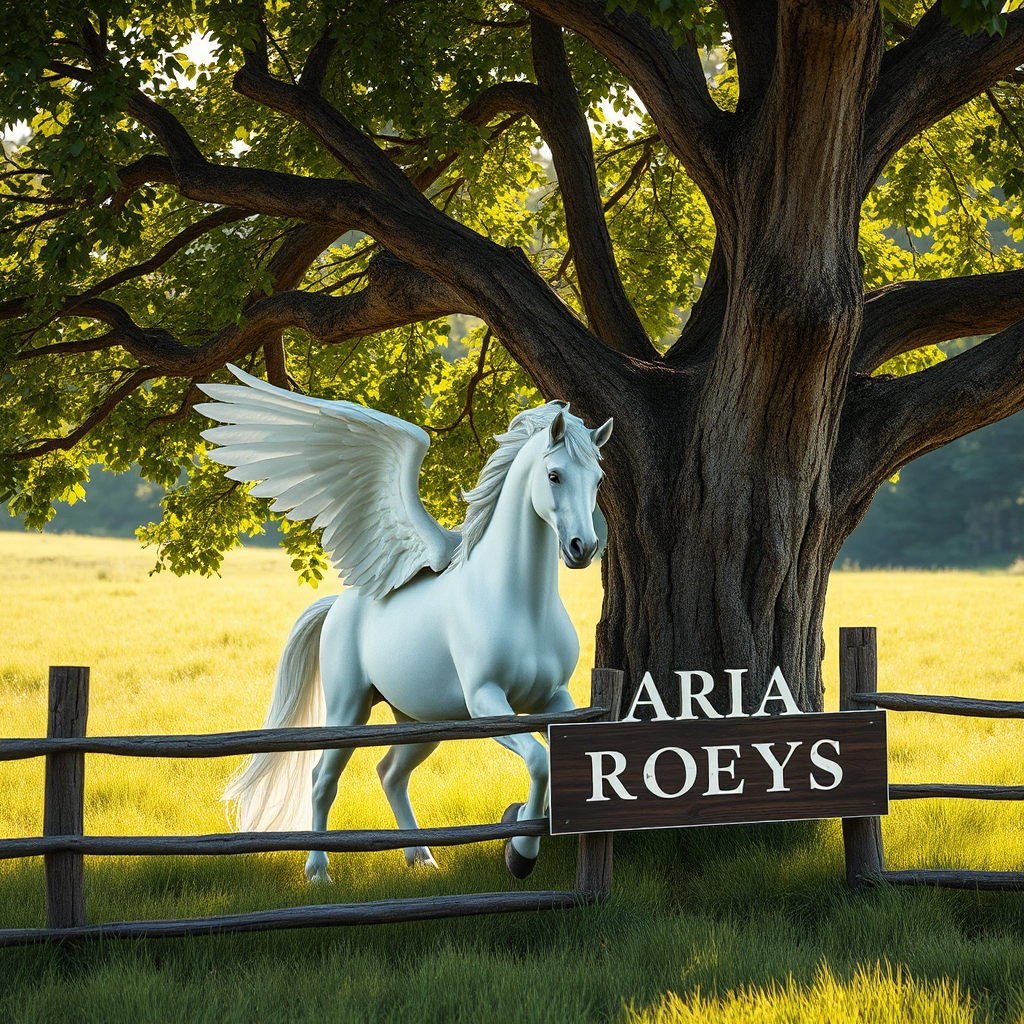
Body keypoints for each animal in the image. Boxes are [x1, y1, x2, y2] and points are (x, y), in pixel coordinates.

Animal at [196, 366, 610, 880]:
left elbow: (561, 760)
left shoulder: (554, 699)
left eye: (598, 479)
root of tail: (339, 604)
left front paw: (521, 827)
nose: (582, 548)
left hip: (420, 720)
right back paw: (319, 871)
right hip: (349, 708)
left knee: (390, 773)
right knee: (322, 778)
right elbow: (539, 759)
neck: (518, 602)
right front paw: (520, 853)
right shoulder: (486, 702)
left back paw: (422, 857)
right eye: (554, 475)